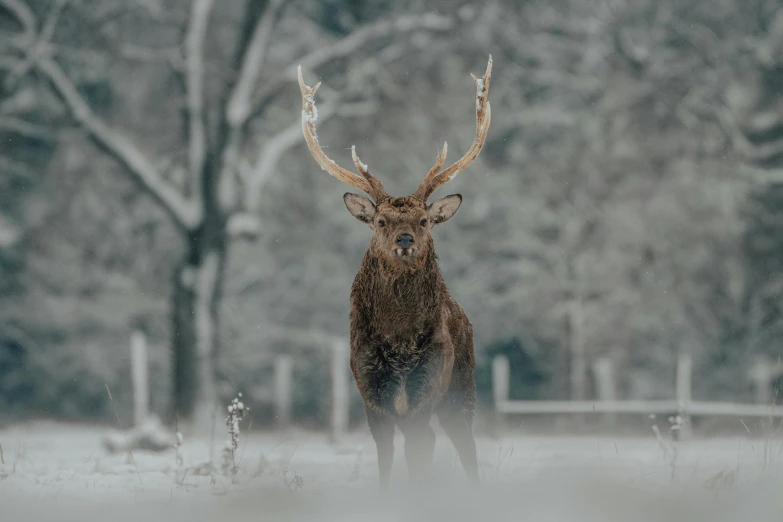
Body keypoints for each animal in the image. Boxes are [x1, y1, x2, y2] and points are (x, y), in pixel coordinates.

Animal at [298, 54, 494, 486]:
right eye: (381, 221)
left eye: (423, 220)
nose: (404, 239)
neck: (400, 342)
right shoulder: (370, 391)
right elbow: (387, 459)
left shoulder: (428, 384)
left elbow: (420, 453)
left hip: (462, 385)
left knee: (466, 445)